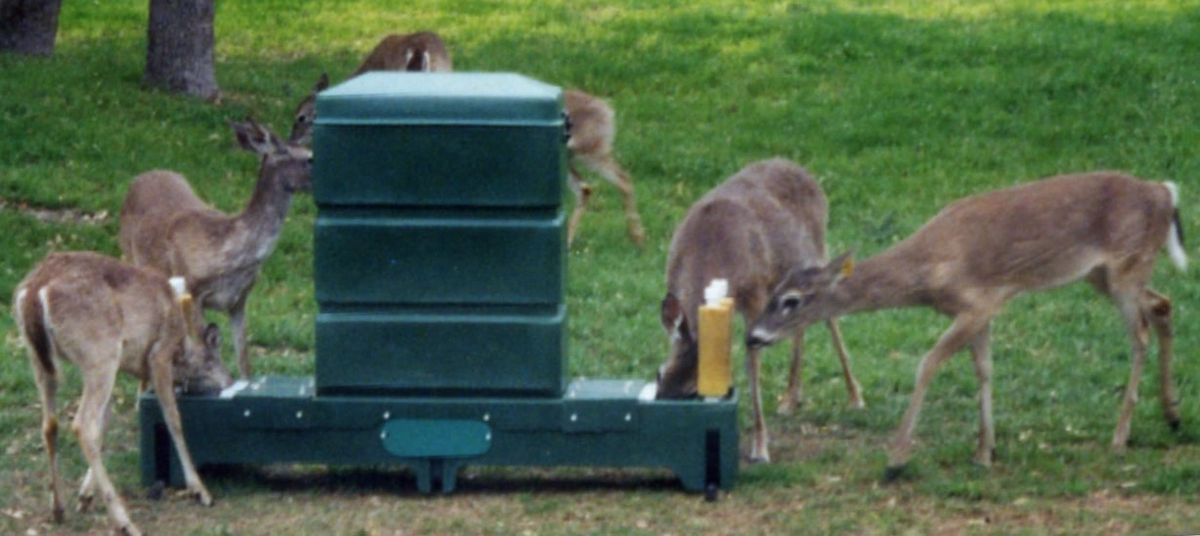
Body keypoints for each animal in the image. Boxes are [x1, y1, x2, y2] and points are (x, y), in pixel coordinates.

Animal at [12, 251, 232, 536]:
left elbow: (107, 421)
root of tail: (36, 289)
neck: (182, 347)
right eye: (215, 360)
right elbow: (173, 418)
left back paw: (59, 509)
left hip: (38, 359)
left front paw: (85, 496)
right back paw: (124, 521)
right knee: (83, 425)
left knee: (51, 424)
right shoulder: (159, 354)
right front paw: (200, 490)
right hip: (100, 353)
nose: (229, 381)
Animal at [119, 118, 313, 379]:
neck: (228, 251)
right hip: (131, 257)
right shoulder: (193, 292)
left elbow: (244, 361)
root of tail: (139, 177)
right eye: (308, 158)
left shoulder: (239, 299)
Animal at [286, 32, 647, 247]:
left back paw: (637, 238)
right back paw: (575, 241)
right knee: (586, 188)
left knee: (622, 177)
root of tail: (609, 112)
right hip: (571, 157)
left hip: (590, 150)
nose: (290, 140)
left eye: (301, 116)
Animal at [655, 158, 864, 463]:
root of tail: (801, 168)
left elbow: (752, 365)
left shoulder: (754, 296)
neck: (709, 248)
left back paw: (855, 397)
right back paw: (790, 399)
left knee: (829, 315)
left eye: (694, 391)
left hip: (817, 253)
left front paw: (760, 447)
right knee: (801, 319)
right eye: (659, 374)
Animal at [746, 172, 1187, 479]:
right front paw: (984, 452)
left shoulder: (976, 305)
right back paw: (1172, 415)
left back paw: (1120, 437)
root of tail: (1165, 192)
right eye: (774, 292)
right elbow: (985, 371)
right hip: (1101, 274)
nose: (753, 336)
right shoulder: (982, 310)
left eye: (791, 300)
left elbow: (927, 364)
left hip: (1127, 265)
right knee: (1163, 305)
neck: (928, 270)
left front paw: (896, 459)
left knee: (1140, 334)